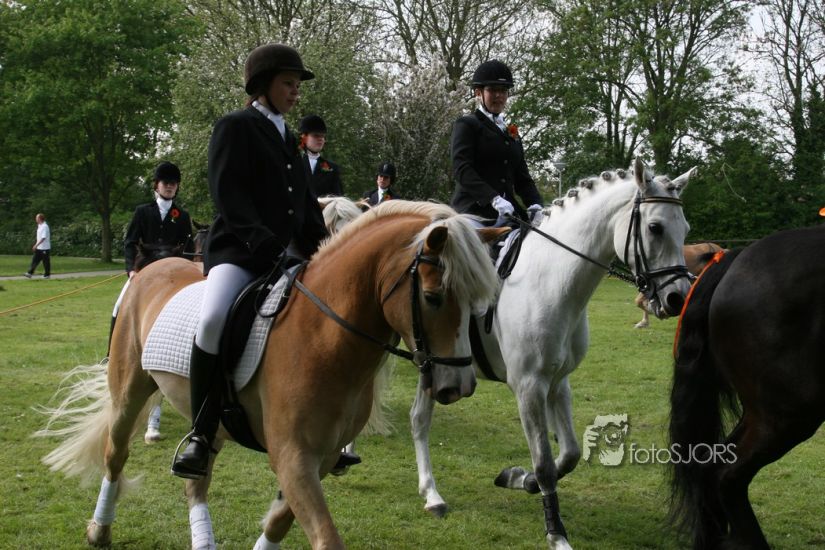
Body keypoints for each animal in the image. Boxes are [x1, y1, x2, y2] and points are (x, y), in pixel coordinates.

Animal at [37, 201, 507, 549]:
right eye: (432, 296)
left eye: (476, 301)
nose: (459, 386)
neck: (325, 338)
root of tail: (152, 267)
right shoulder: (293, 456)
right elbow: (324, 536)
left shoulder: (321, 457)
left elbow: (280, 522)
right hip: (130, 391)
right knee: (115, 454)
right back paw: (99, 529)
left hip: (211, 420)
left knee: (196, 480)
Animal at [409, 158, 695, 549]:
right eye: (655, 227)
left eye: (685, 229)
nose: (677, 298)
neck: (551, 281)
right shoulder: (529, 386)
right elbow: (545, 463)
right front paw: (556, 533)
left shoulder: (559, 382)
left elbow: (569, 453)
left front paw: (519, 478)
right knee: (417, 418)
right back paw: (429, 494)